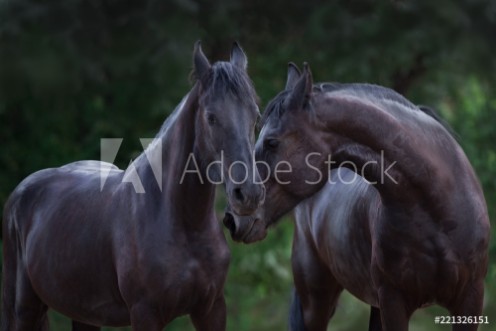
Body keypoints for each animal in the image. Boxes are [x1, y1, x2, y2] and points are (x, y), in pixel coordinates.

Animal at [1, 42, 266, 331]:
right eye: (211, 117)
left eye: (256, 115)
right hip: (24, 309)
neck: (184, 222)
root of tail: (24, 188)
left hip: (84, 313)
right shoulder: (145, 313)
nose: (248, 194)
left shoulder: (211, 309)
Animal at [226, 63, 492, 330]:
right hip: (316, 301)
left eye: (272, 142)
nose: (232, 218)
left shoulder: (470, 300)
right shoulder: (393, 301)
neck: (436, 210)